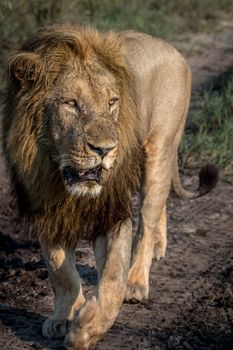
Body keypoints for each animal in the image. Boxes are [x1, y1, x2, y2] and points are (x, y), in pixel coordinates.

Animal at [1, 25, 218, 350]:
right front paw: (65, 315)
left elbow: (114, 276)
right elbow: (61, 272)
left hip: (159, 149)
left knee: (148, 219)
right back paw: (160, 246)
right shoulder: (47, 210)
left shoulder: (112, 210)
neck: (63, 181)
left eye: (112, 102)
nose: (105, 150)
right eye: (71, 103)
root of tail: (171, 48)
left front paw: (86, 328)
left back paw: (138, 281)